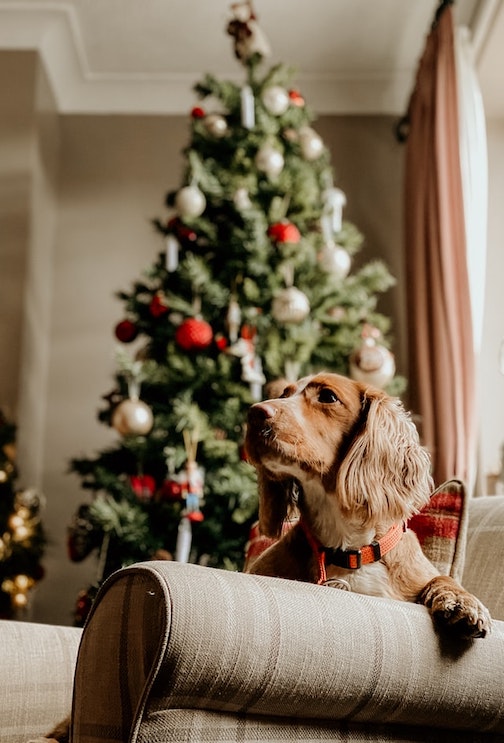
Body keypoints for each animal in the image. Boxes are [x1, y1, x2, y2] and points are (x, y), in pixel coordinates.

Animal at [246, 372, 490, 640]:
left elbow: (442, 578)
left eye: (328, 396)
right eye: (284, 394)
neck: (349, 550)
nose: (254, 412)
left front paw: (462, 601)